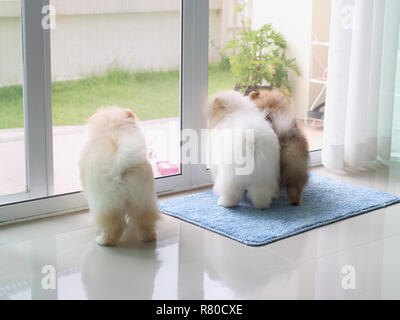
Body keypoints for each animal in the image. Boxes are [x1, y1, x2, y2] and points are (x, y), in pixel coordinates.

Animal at [78, 106, 159, 246]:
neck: (113, 129)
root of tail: (121, 163)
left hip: (105, 204)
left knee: (114, 226)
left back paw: (103, 241)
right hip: (144, 199)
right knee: (145, 220)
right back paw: (148, 237)